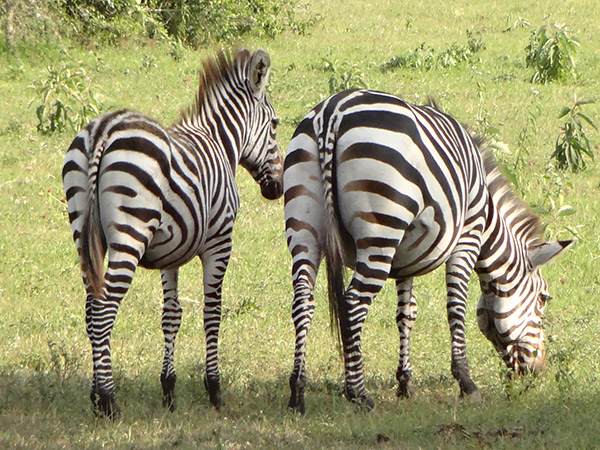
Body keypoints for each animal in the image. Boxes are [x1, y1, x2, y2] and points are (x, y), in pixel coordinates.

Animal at [62, 47, 282, 416]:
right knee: (104, 310)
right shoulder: (220, 240)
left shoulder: (172, 249)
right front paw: (214, 389)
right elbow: (212, 311)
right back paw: (109, 400)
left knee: (91, 310)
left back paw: (95, 396)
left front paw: (169, 389)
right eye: (276, 125)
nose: (277, 189)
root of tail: (104, 129)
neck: (221, 144)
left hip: (84, 233)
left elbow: (172, 314)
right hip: (130, 233)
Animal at [284, 89, 576, 414]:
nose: (539, 370)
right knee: (353, 304)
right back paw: (358, 393)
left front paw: (405, 383)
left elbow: (406, 314)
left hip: (305, 225)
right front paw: (466, 382)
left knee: (303, 303)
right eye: (543, 299)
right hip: (381, 229)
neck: (488, 216)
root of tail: (332, 112)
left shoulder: (404, 257)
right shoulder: (467, 238)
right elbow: (456, 309)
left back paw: (298, 392)